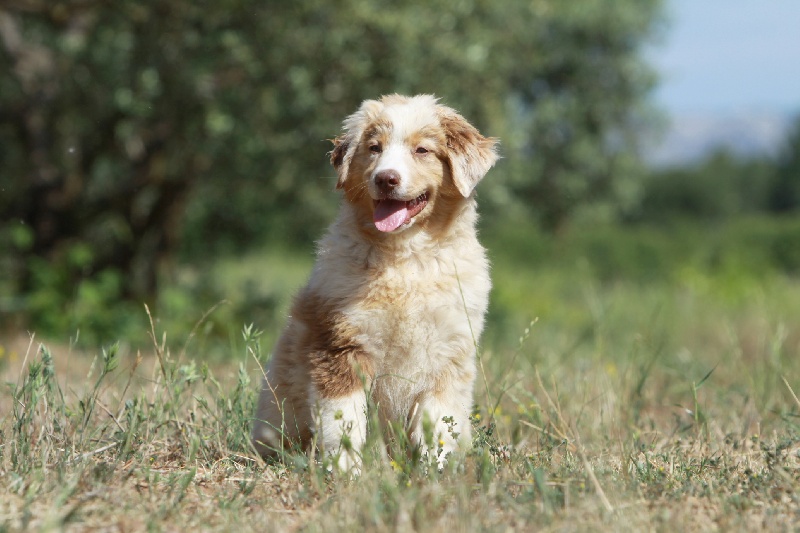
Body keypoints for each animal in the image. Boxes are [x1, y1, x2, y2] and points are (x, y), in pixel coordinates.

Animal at [253, 92, 496, 470]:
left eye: (422, 150)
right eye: (374, 148)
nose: (386, 179)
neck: (405, 260)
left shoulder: (448, 356)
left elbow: (438, 425)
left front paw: (434, 474)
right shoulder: (340, 347)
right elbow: (344, 422)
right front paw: (347, 472)